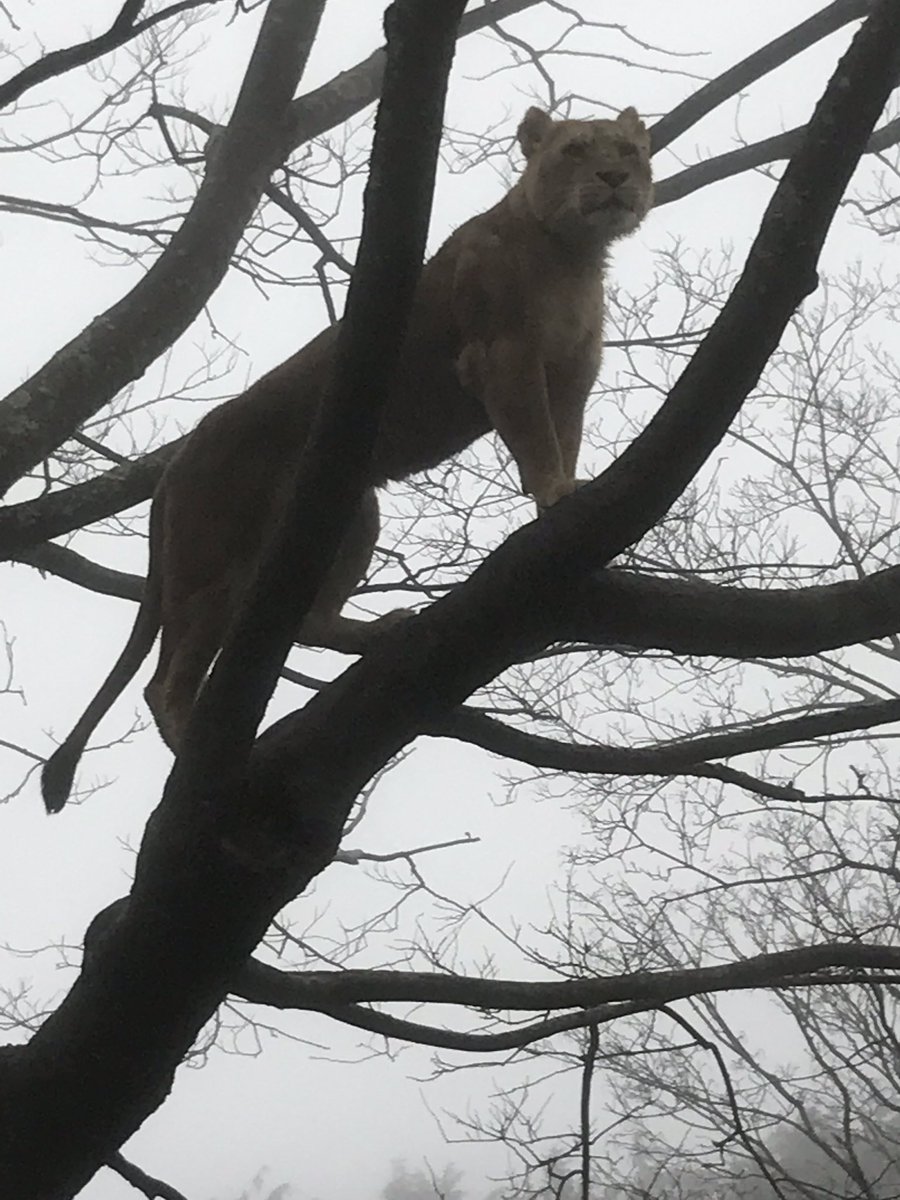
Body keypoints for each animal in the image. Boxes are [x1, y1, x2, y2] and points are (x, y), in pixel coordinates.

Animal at [40, 108, 657, 811]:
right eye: (576, 150)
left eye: (630, 151)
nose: (614, 179)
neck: (573, 255)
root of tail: (178, 458)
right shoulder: (501, 356)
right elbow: (536, 437)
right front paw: (556, 491)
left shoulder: (573, 373)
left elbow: (567, 434)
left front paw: (571, 483)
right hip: (212, 561)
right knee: (164, 680)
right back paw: (196, 747)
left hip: (352, 509)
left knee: (310, 620)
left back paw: (377, 632)